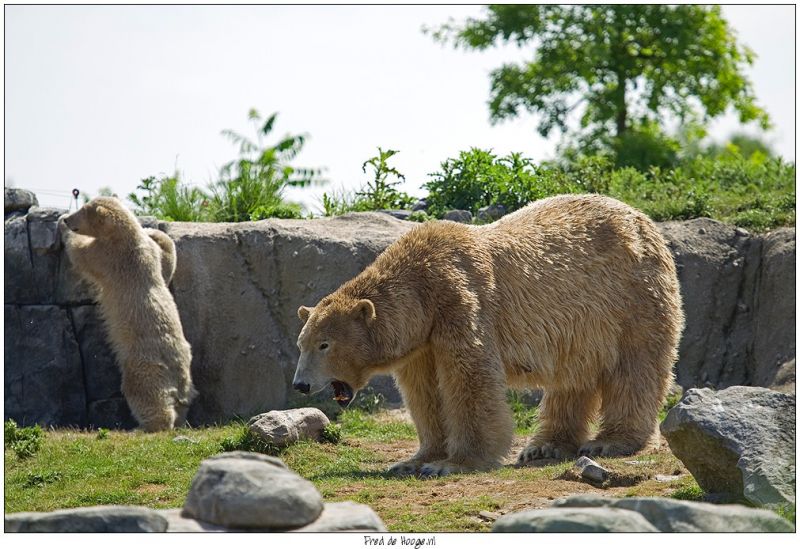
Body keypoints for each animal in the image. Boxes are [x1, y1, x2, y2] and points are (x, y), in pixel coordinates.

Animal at [59, 196, 197, 428]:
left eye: (83, 211)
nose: (69, 219)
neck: (127, 238)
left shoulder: (108, 256)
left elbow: (79, 252)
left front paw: (61, 224)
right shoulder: (148, 254)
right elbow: (166, 265)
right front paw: (153, 231)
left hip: (143, 364)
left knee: (144, 393)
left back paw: (146, 426)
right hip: (185, 372)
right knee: (183, 402)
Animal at [292, 194, 680, 476]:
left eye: (324, 345)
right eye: (302, 343)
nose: (300, 385)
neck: (421, 285)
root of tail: (644, 220)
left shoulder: (460, 301)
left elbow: (469, 379)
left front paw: (451, 463)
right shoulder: (423, 340)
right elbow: (425, 392)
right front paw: (413, 460)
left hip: (632, 296)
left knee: (635, 367)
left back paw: (609, 441)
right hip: (583, 323)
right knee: (573, 375)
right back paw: (544, 445)